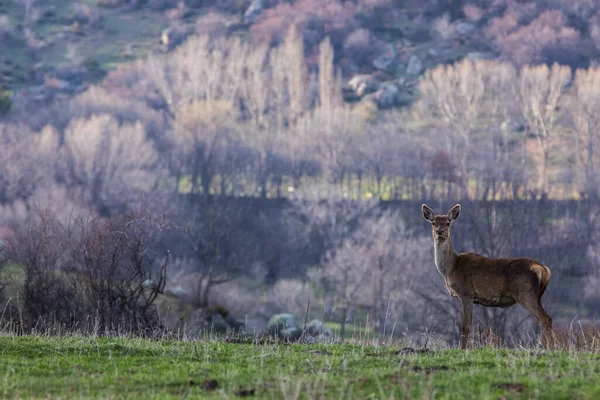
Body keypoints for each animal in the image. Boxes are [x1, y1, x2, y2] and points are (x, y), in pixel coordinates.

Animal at [422, 205, 552, 348]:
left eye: (448, 223)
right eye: (433, 222)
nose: (440, 231)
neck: (451, 268)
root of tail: (544, 269)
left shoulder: (466, 293)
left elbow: (465, 326)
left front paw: (462, 349)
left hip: (525, 293)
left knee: (546, 318)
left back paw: (550, 348)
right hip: (538, 296)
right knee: (544, 319)